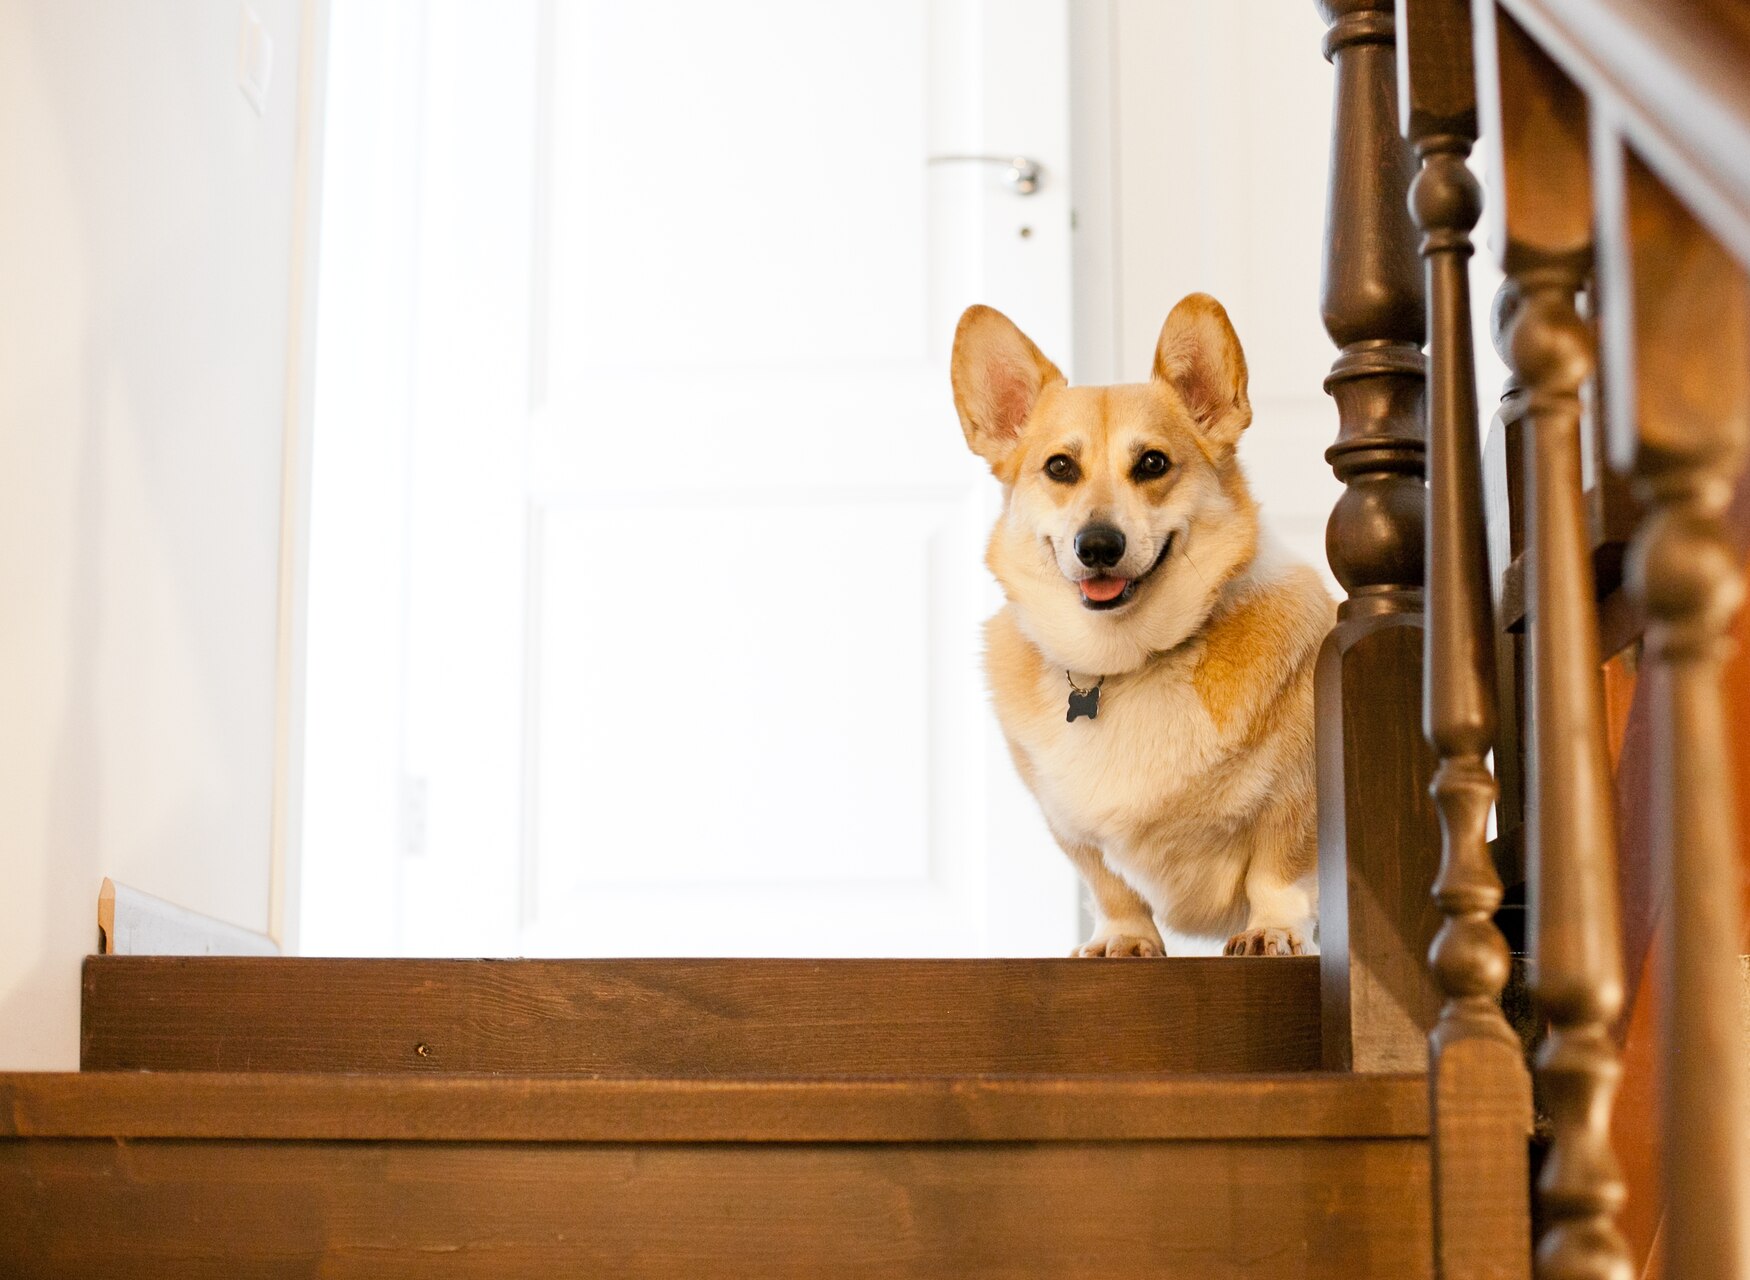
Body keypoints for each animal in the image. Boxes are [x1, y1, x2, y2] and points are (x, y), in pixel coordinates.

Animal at [952, 295, 1330, 959]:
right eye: (1059, 467)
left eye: (1153, 463)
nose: (1098, 545)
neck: (1126, 662)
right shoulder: (1069, 825)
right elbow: (1110, 886)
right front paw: (1123, 939)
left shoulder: (1299, 796)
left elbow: (1278, 871)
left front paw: (1272, 930)